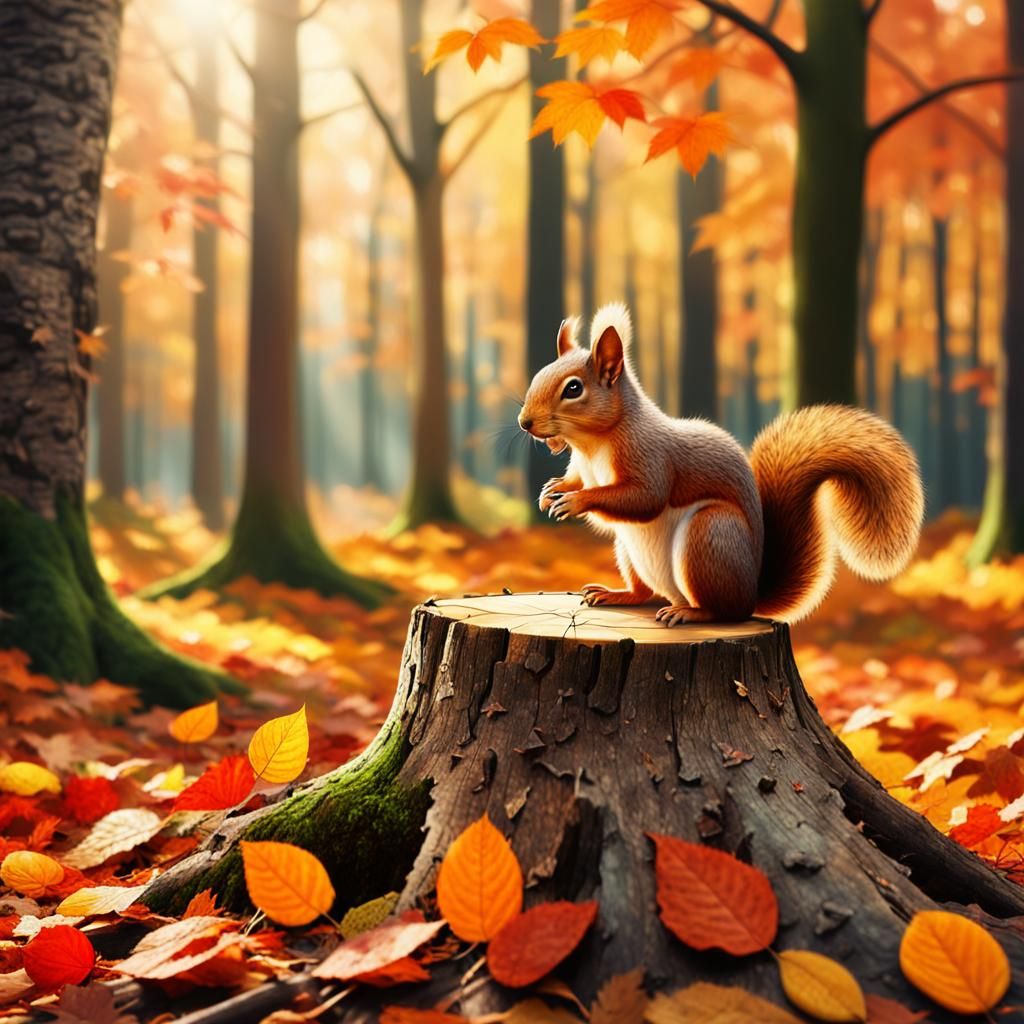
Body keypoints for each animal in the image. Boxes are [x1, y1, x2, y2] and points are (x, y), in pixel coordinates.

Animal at [518, 302, 924, 625]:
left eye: (573, 389)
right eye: (537, 376)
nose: (525, 422)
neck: (592, 444)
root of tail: (752, 594)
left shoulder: (650, 456)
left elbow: (644, 498)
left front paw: (576, 502)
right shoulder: (582, 467)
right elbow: (577, 481)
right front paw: (552, 491)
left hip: (709, 534)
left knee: (724, 611)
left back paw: (690, 613)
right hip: (630, 551)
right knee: (645, 592)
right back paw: (617, 594)